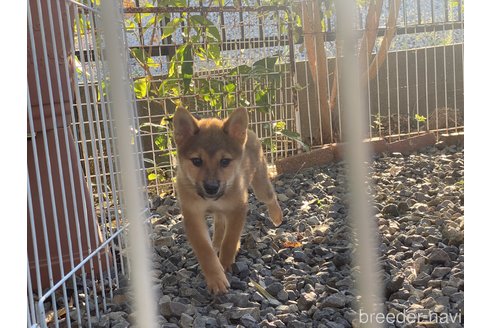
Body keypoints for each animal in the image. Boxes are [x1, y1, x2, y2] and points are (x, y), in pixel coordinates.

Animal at [173, 106, 282, 294]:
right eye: (196, 161)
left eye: (225, 161)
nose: (211, 187)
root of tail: (249, 131)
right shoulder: (193, 215)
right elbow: (205, 250)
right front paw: (216, 278)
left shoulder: (237, 208)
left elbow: (230, 240)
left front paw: (224, 263)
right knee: (219, 225)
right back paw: (216, 243)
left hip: (260, 185)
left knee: (270, 197)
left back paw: (276, 216)